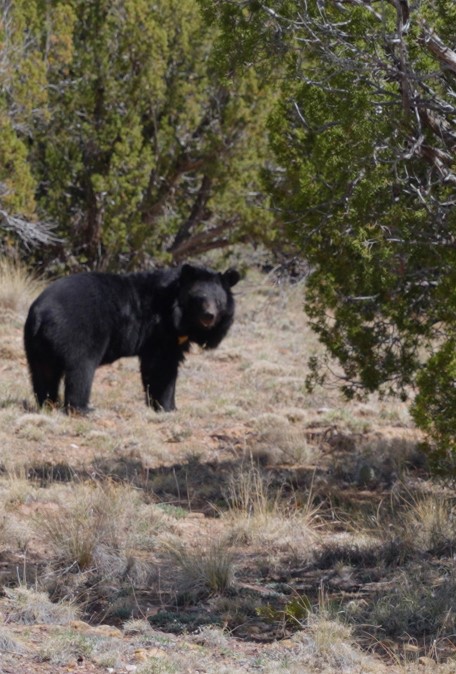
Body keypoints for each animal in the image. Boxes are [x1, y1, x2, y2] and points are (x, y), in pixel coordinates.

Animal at [23, 262, 240, 410]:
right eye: (199, 299)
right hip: (76, 334)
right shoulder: (160, 332)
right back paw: (82, 408)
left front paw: (170, 406)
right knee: (80, 370)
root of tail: (40, 313)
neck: (179, 316)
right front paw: (165, 406)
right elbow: (161, 368)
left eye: (218, 301)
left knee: (43, 373)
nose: (208, 316)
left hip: (37, 346)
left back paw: (48, 404)